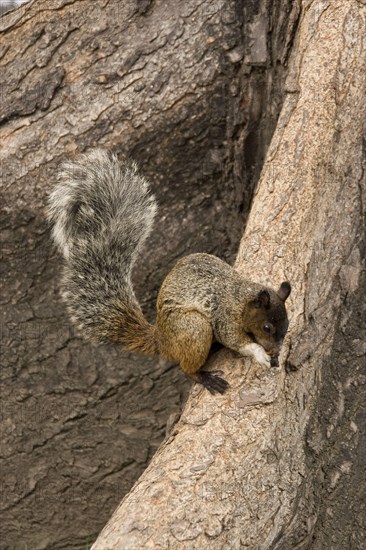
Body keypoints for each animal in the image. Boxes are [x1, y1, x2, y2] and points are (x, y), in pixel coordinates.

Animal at [48, 149, 294, 394]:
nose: (275, 352)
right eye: (267, 327)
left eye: (287, 325)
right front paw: (260, 354)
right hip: (193, 328)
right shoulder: (226, 317)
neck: (242, 298)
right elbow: (236, 340)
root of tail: (163, 341)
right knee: (186, 367)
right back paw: (204, 377)